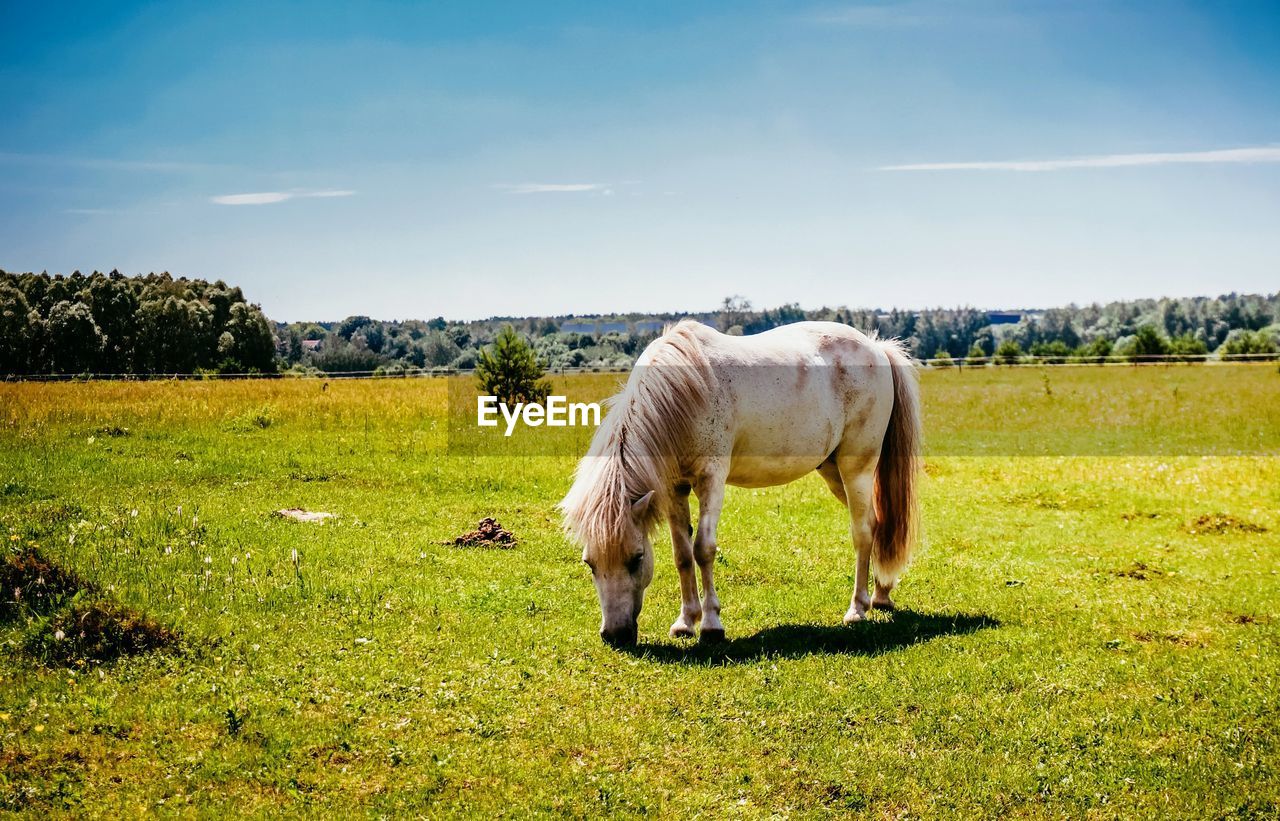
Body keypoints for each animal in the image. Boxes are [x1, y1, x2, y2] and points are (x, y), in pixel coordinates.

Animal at [560, 317, 921, 642]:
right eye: (589, 563)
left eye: (636, 559)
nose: (615, 635)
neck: (684, 391)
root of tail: (876, 347)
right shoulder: (675, 488)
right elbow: (682, 555)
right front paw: (685, 622)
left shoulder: (711, 479)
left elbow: (703, 549)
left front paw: (711, 625)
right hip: (833, 472)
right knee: (876, 523)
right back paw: (882, 594)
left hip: (855, 467)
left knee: (862, 532)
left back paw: (857, 609)